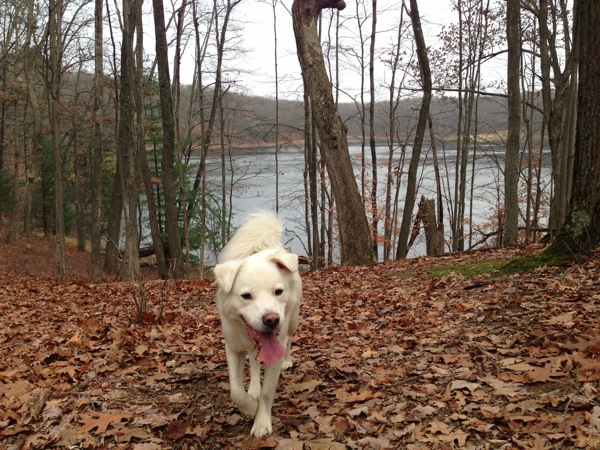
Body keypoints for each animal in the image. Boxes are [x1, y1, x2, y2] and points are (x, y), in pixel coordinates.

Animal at [213, 211, 302, 436]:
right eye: (246, 296)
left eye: (278, 291)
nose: (272, 319)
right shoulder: (233, 347)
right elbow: (235, 390)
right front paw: (249, 406)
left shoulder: (275, 353)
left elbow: (267, 392)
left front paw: (261, 421)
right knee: (253, 361)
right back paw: (253, 387)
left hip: (293, 320)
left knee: (289, 340)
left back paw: (288, 359)